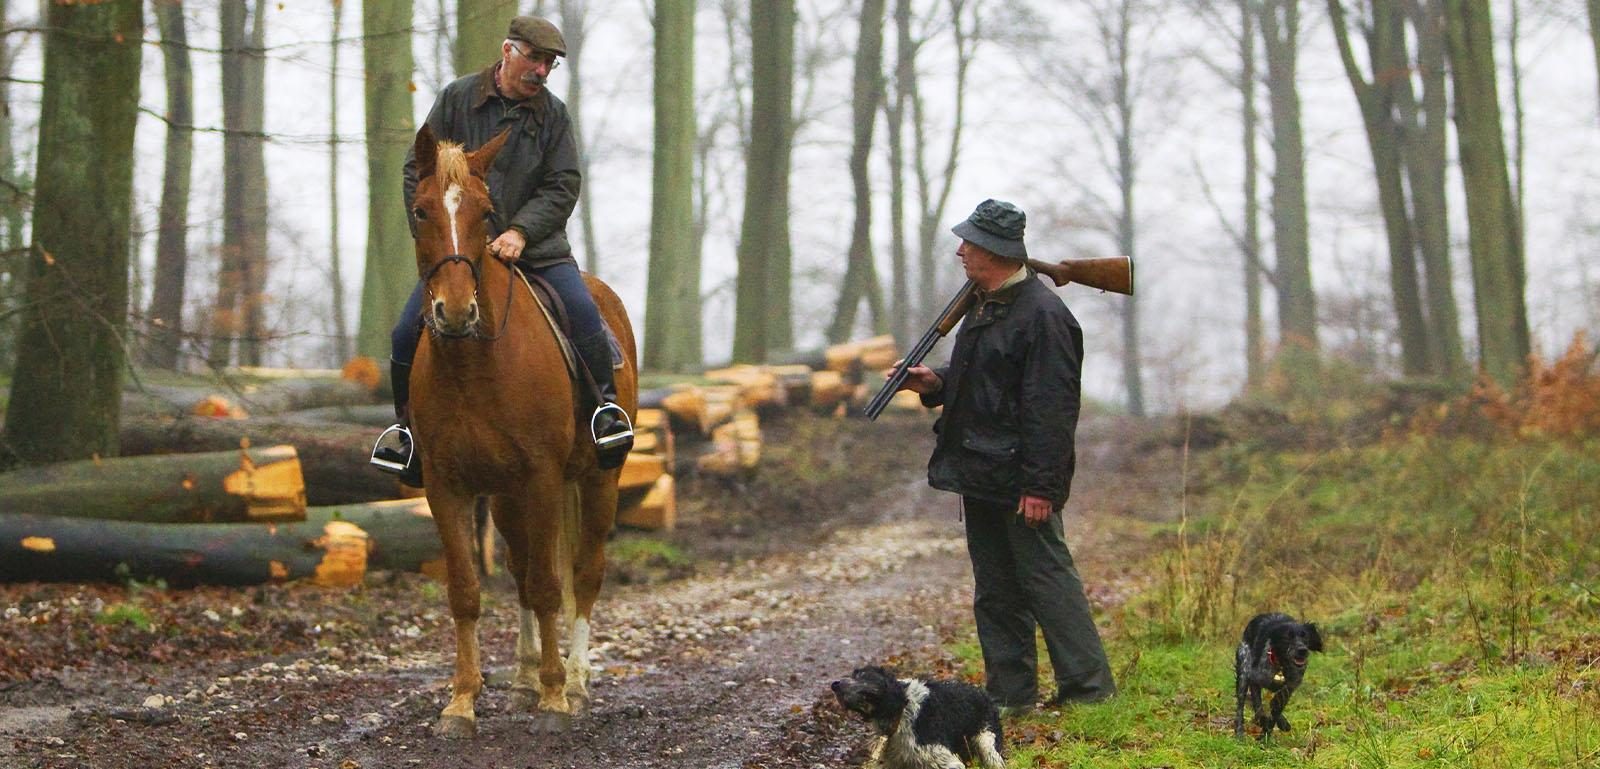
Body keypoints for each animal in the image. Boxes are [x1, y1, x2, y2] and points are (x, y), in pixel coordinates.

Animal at [403, 126, 640, 738]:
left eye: (487, 214)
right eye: (420, 210)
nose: (455, 312)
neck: (475, 364)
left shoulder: (542, 477)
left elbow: (549, 585)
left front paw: (556, 697)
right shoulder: (446, 485)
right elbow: (468, 591)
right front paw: (462, 702)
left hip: (596, 481)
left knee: (583, 572)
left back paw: (575, 682)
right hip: (508, 498)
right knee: (519, 568)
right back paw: (524, 678)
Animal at [832, 661, 1004, 764]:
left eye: (862, 675)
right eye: (854, 674)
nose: (834, 684)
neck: (901, 711)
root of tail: (984, 694)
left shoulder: (942, 757)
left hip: (987, 742)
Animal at [1235, 610, 1324, 738]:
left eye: (1305, 636)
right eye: (1287, 637)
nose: (1302, 650)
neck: (1281, 665)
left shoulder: (1292, 683)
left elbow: (1278, 704)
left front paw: (1272, 726)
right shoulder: (1255, 676)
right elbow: (1258, 703)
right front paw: (1265, 728)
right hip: (1243, 670)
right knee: (1241, 705)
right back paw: (1240, 732)